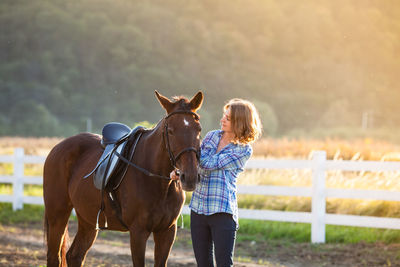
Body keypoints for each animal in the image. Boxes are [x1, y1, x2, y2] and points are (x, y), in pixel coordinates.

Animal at [43, 91, 203, 266]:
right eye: (171, 131)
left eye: (198, 129)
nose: (190, 176)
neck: (159, 182)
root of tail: (58, 147)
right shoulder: (138, 232)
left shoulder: (167, 231)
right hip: (57, 215)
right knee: (54, 256)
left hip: (88, 220)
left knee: (74, 255)